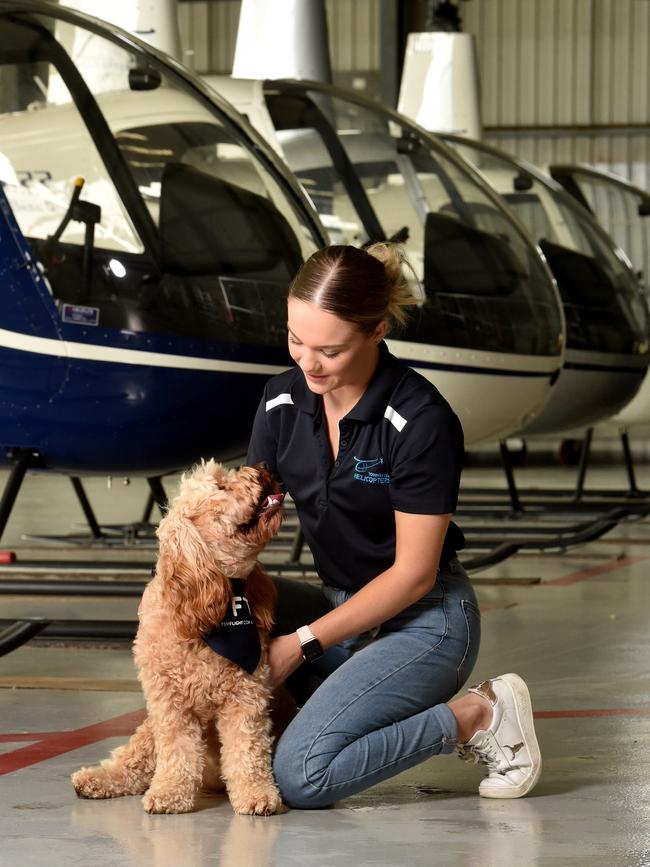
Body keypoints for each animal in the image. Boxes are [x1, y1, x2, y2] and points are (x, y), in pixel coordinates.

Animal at [69, 458, 284, 816]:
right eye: (221, 486)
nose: (263, 465)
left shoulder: (246, 697)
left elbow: (247, 751)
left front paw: (257, 794)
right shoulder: (169, 702)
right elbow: (177, 751)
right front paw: (170, 793)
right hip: (149, 723)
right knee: (134, 759)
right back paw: (96, 779)